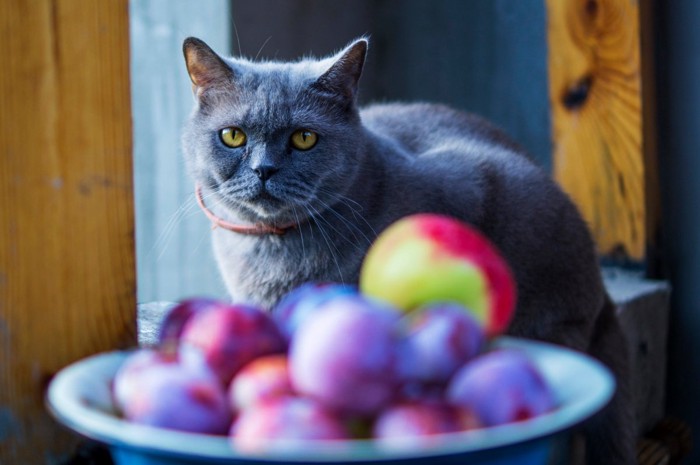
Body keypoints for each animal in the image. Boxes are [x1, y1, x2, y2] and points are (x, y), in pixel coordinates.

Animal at [183, 37, 636, 464]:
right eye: (233, 136)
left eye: (304, 138)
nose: (264, 169)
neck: (270, 251)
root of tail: (604, 300)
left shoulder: (472, 179)